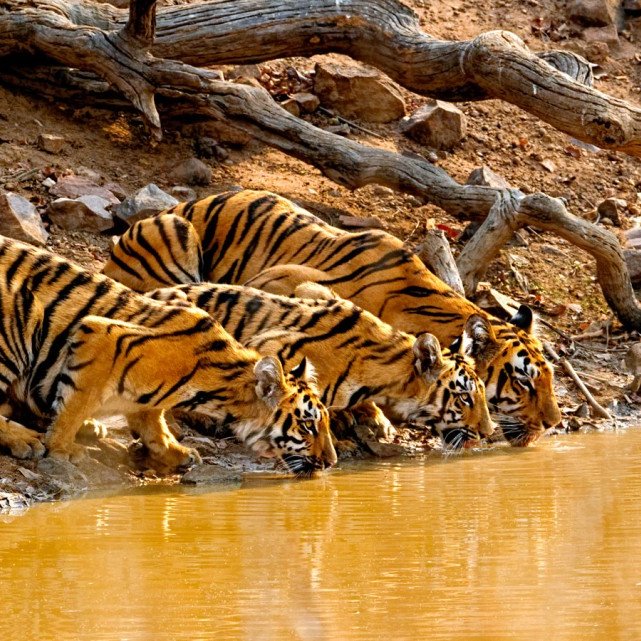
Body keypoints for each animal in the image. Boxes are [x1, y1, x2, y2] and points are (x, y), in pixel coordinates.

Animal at [0, 235, 336, 476]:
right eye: (308, 426)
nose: (331, 462)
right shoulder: (100, 333)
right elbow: (75, 405)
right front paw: (61, 447)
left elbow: (152, 419)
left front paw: (175, 451)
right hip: (20, 318)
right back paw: (25, 439)